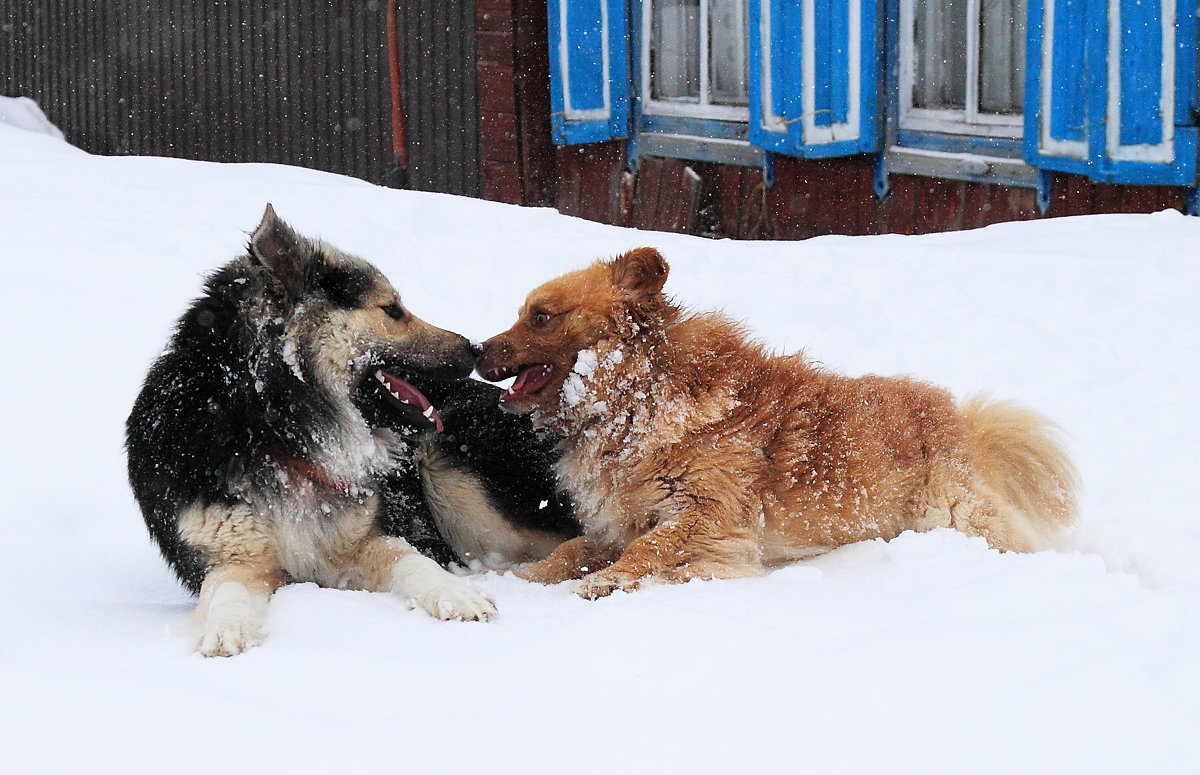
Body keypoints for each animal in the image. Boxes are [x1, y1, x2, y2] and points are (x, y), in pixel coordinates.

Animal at [124, 206, 573, 657]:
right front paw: (226, 628)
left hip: (450, 472)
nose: (476, 348)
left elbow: (412, 558)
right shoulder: (235, 557)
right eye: (392, 309)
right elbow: (226, 589)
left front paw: (455, 593)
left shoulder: (362, 541)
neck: (276, 430)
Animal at [475, 249, 1080, 602]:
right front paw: (527, 579)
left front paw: (611, 580)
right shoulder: (621, 520)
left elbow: (651, 547)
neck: (637, 399)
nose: (476, 350)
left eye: (541, 317)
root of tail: (962, 424)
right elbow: (573, 550)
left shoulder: (710, 517)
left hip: (952, 516)